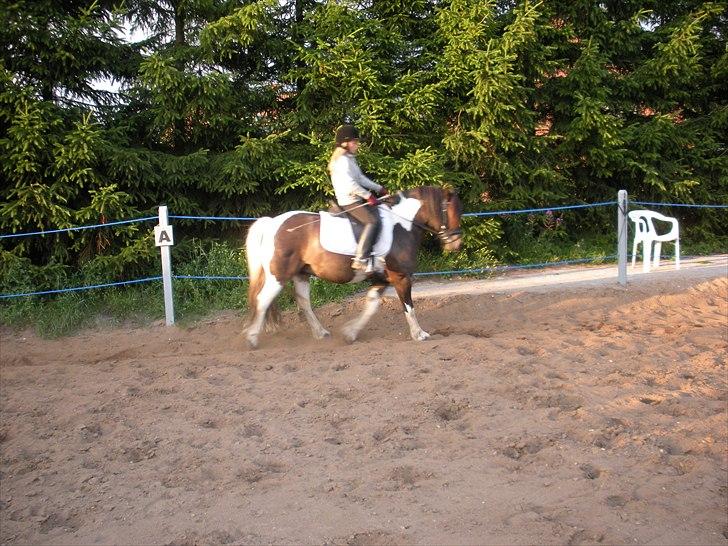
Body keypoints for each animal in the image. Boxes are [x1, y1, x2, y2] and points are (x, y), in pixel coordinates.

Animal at [243, 186, 460, 348]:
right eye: (453, 211)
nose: (456, 244)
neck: (400, 226)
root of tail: (273, 223)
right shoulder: (401, 277)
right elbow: (408, 306)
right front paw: (419, 334)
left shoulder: (381, 279)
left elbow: (371, 306)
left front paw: (350, 333)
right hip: (278, 275)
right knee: (263, 300)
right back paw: (252, 338)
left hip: (301, 274)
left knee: (304, 303)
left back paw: (321, 333)